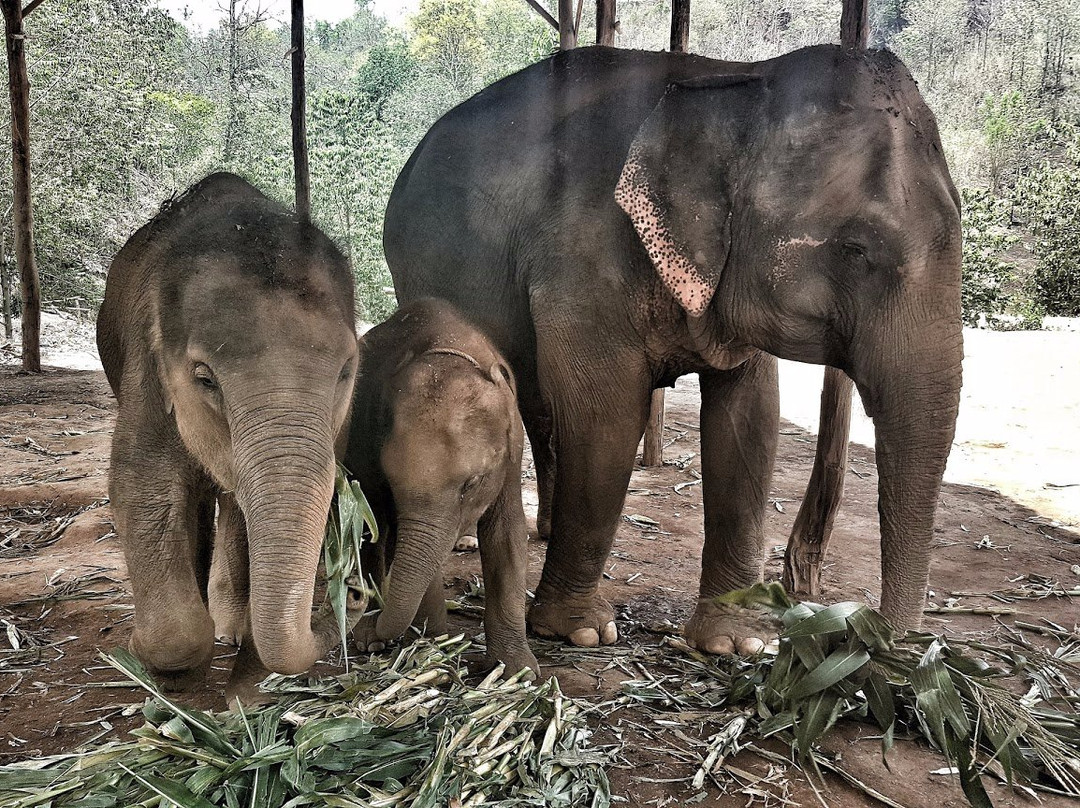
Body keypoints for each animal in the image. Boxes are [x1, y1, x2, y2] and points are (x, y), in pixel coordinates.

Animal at [96, 173, 362, 691]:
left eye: (346, 371)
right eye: (205, 379)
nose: (356, 593)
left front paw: (243, 663)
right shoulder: (146, 369)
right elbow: (141, 484)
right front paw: (147, 656)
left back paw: (230, 626)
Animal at [347, 295, 537, 674]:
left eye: (472, 483)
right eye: (392, 480)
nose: (358, 601)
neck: (449, 347)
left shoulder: (512, 450)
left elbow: (507, 532)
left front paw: (520, 670)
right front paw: (432, 637)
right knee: (373, 529)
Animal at [382, 42, 963, 648]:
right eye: (856, 249)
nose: (883, 643)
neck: (731, 79)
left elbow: (749, 416)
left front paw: (736, 641)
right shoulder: (582, 259)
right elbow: (607, 415)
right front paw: (579, 632)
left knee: (537, 405)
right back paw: (471, 540)